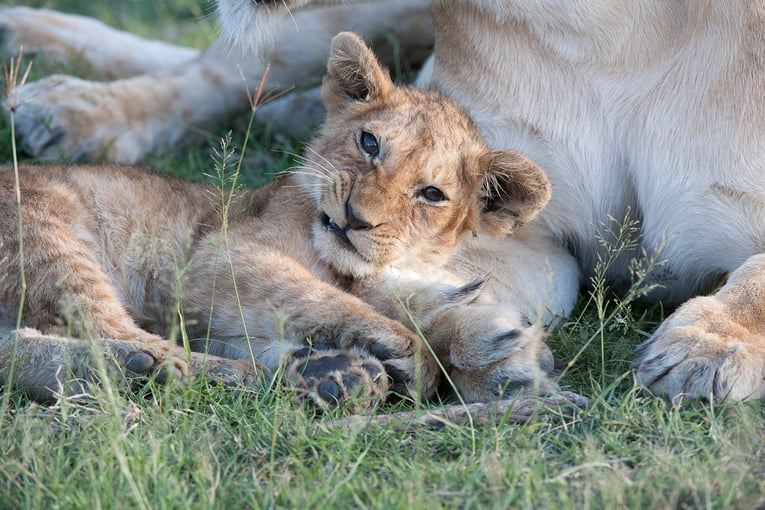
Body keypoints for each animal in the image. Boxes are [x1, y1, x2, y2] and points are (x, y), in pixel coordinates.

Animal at [216, 0, 765, 402]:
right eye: (369, 145)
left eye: (432, 192)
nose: (353, 217)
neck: (617, 36)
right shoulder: (517, 237)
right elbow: (410, 285)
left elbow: (755, 279)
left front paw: (706, 350)